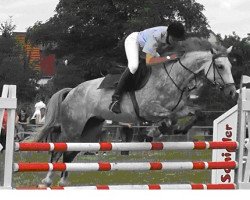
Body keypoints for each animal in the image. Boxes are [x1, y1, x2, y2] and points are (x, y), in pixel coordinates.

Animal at [35, 38, 236, 187]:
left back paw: (63, 181)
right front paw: (156, 130)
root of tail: (72, 91)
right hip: (73, 128)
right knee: (58, 149)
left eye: (230, 66)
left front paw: (176, 130)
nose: (232, 92)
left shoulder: (180, 108)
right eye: (220, 66)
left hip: (89, 130)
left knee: (70, 153)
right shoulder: (150, 109)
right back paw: (46, 180)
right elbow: (168, 118)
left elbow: (196, 113)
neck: (173, 78)